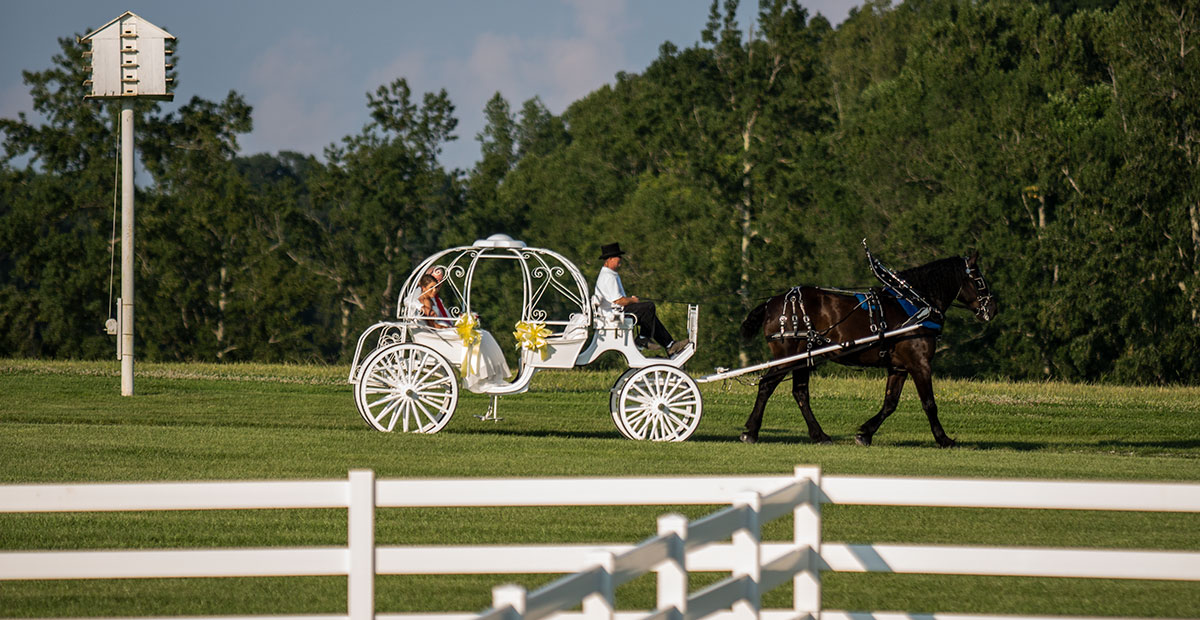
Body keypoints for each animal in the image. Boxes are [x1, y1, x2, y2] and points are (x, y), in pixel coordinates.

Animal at [734, 250, 998, 443]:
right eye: (979, 280)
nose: (992, 309)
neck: (915, 304)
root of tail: (773, 302)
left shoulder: (899, 367)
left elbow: (890, 403)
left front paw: (865, 433)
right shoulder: (920, 363)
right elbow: (929, 403)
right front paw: (944, 439)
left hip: (802, 357)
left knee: (799, 393)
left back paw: (819, 434)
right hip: (788, 355)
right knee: (767, 385)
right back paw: (751, 431)